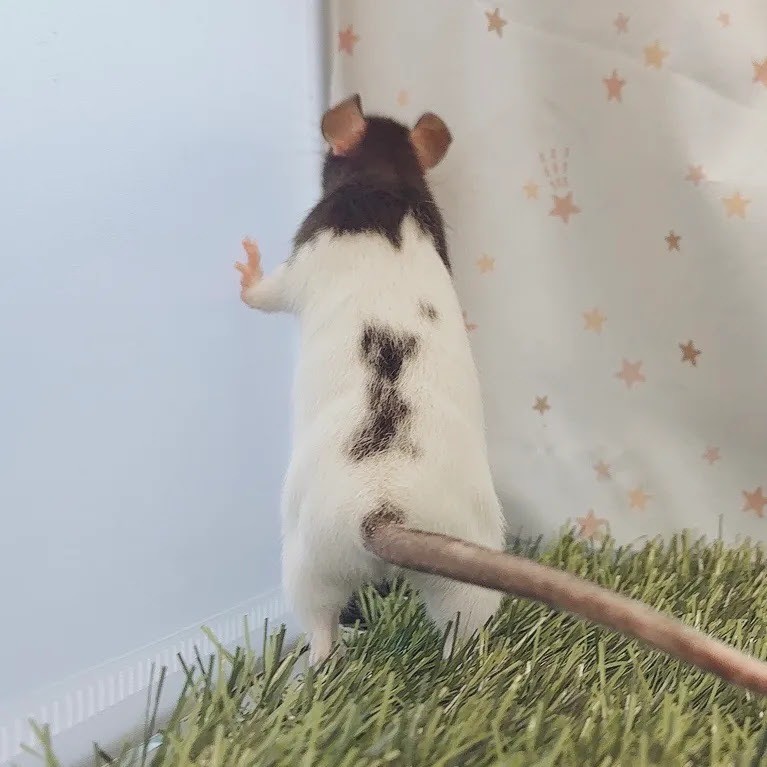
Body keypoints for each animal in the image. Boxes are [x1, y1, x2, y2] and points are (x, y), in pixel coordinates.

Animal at [235, 94, 767, 696]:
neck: (387, 180)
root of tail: (383, 510)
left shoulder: (306, 251)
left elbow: (266, 295)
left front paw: (246, 267)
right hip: (439, 566)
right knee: (459, 625)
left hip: (307, 561)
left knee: (322, 627)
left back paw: (333, 664)